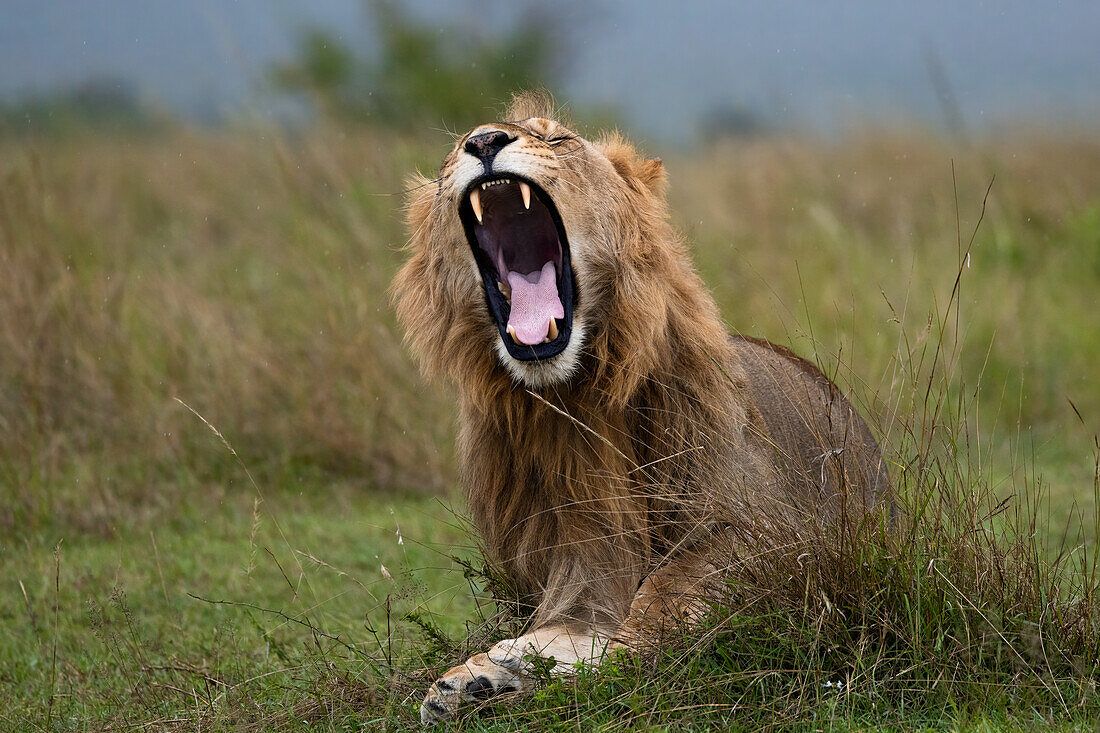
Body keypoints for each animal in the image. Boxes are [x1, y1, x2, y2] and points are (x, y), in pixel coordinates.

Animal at [391, 89, 888, 717]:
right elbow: (563, 630)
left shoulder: (760, 531)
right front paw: (481, 676)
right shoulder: (577, 559)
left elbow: (656, 614)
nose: (482, 142)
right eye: (453, 150)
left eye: (556, 138)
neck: (573, 399)